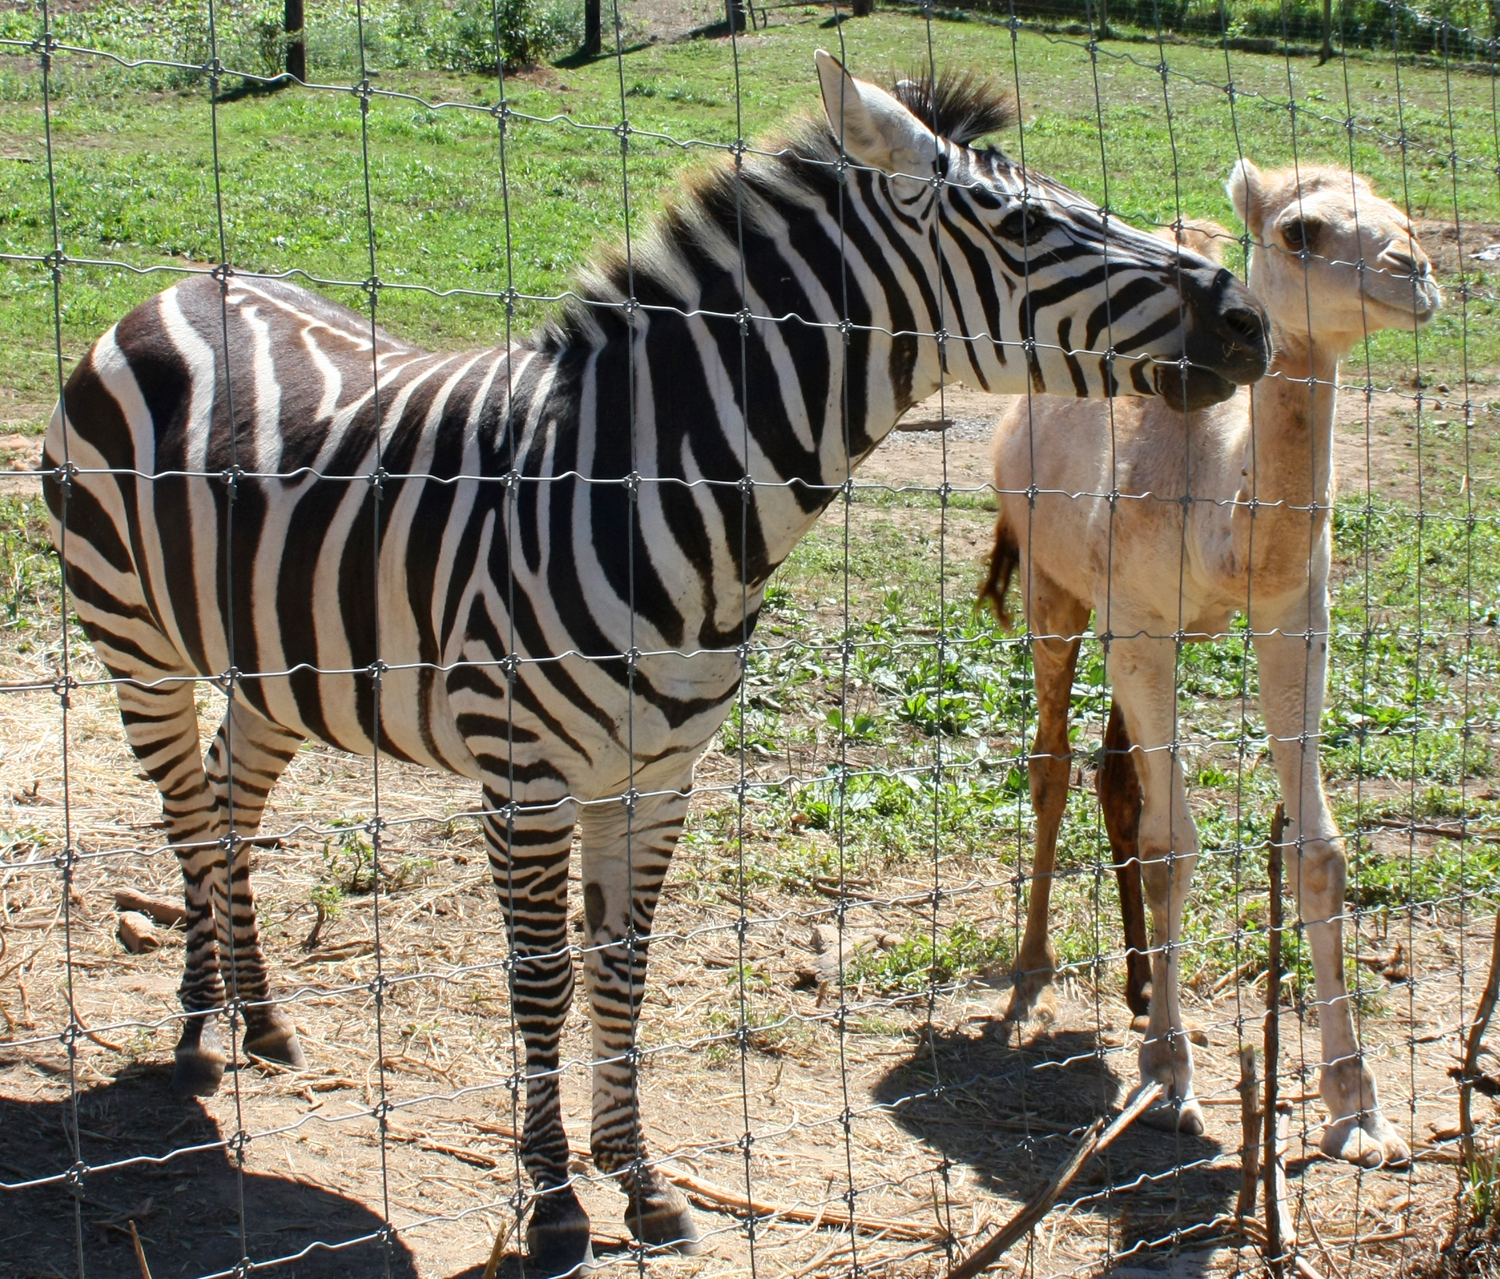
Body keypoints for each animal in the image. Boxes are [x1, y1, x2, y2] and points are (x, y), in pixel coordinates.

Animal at [43, 54, 1266, 1271]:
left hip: (278, 669)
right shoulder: (527, 778)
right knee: (188, 814)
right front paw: (553, 1198)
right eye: (1022, 224)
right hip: (136, 642)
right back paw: (195, 1034)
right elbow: (543, 978)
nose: (1248, 317)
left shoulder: (657, 775)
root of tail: (180, 287)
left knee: (230, 803)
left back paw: (257, 1017)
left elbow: (623, 971)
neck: (661, 494)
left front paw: (639, 1181)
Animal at [984, 154, 1440, 1163]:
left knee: (1115, 773)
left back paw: (1136, 983)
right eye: (1302, 230)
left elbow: (1318, 850)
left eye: (1406, 217)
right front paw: (1169, 1077)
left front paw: (1360, 1109)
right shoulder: (1139, 624)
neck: (1219, 510)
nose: (1416, 272)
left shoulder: (1292, 618)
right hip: (1054, 588)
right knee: (1052, 759)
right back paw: (1032, 969)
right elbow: (1171, 846)